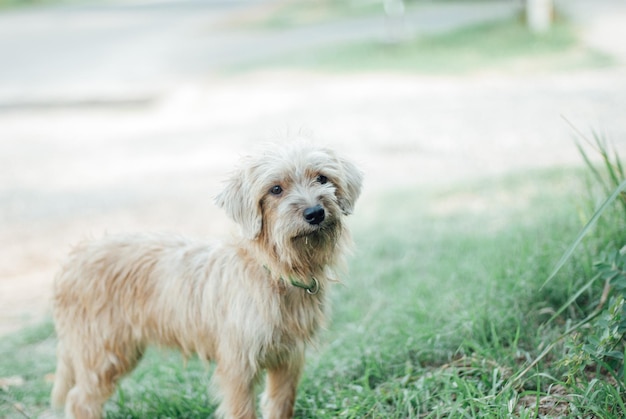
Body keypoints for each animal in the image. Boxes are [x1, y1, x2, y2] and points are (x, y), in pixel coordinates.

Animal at [50, 143, 360, 418]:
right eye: (275, 189)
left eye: (322, 178)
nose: (315, 213)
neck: (273, 272)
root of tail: (72, 260)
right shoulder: (238, 367)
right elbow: (242, 412)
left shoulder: (287, 360)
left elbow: (280, 406)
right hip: (104, 354)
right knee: (79, 401)